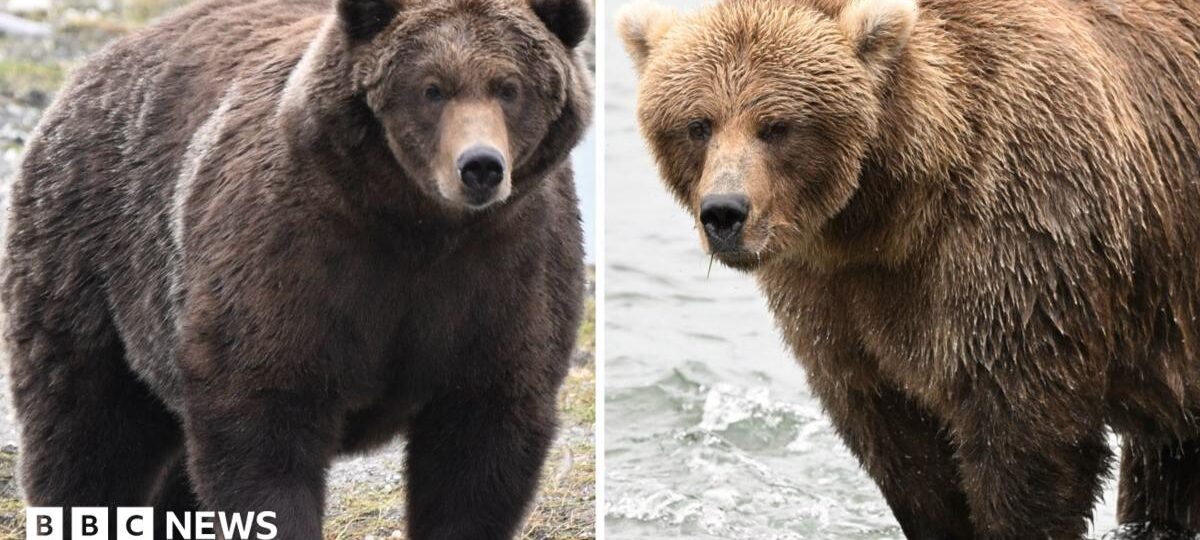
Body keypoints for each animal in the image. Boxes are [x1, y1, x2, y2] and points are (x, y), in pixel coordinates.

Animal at [2, 0, 591, 537]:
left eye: (509, 87)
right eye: (432, 88)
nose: (481, 167)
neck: (418, 226)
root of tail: (89, 69)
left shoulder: (505, 274)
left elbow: (480, 447)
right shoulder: (293, 257)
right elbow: (264, 419)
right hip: (93, 263)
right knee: (85, 429)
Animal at [619, 0, 1200, 538]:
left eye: (777, 126)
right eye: (698, 124)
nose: (724, 211)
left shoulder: (1022, 243)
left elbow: (1029, 441)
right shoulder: (833, 295)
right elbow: (902, 448)